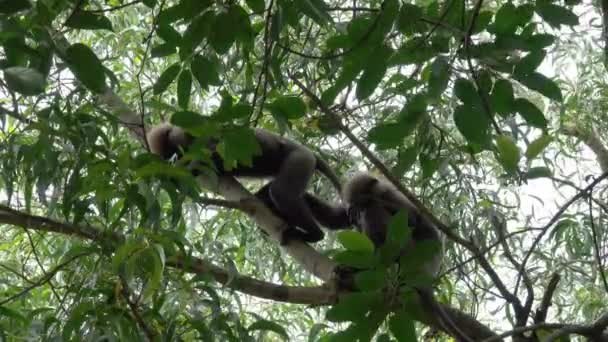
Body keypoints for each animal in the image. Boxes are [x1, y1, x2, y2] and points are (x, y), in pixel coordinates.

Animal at [146, 122, 352, 243]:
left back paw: (315, 235)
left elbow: (211, 154)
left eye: (173, 151)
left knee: (281, 193)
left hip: (299, 159)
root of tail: (311, 153)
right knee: (283, 195)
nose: (172, 159)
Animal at [340, 172, 472, 342]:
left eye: (359, 199)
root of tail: (426, 271)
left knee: (375, 211)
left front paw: (369, 202)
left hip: (408, 248)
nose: (354, 214)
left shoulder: (390, 195)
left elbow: (412, 219)